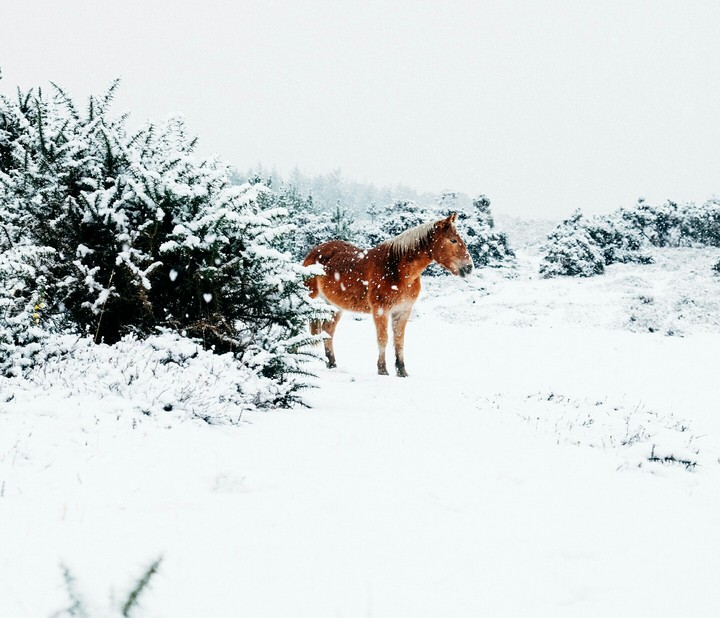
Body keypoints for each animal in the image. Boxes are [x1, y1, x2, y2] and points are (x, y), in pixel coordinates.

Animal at [303, 212, 473, 377]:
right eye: (453, 240)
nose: (469, 267)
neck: (397, 269)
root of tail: (314, 252)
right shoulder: (381, 310)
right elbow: (383, 339)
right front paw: (382, 370)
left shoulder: (403, 311)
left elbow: (399, 341)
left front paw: (402, 371)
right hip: (309, 300)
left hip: (335, 306)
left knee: (328, 331)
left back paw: (331, 364)